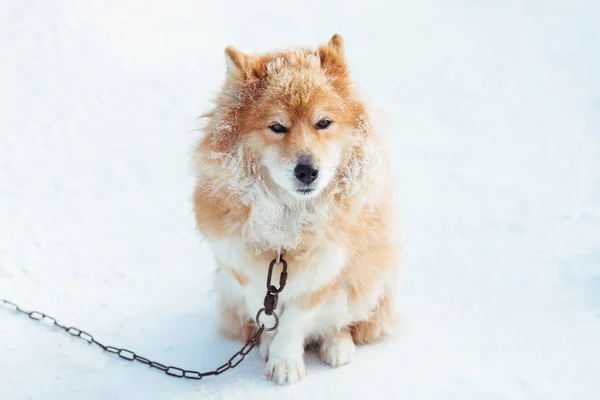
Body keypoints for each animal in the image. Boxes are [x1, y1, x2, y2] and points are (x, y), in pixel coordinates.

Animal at [192, 33, 400, 384]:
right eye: (277, 127)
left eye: (323, 123)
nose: (307, 171)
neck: (289, 220)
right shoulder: (240, 266)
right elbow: (263, 309)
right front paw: (270, 345)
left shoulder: (325, 271)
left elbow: (294, 322)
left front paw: (285, 361)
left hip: (367, 278)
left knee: (344, 321)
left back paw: (337, 344)